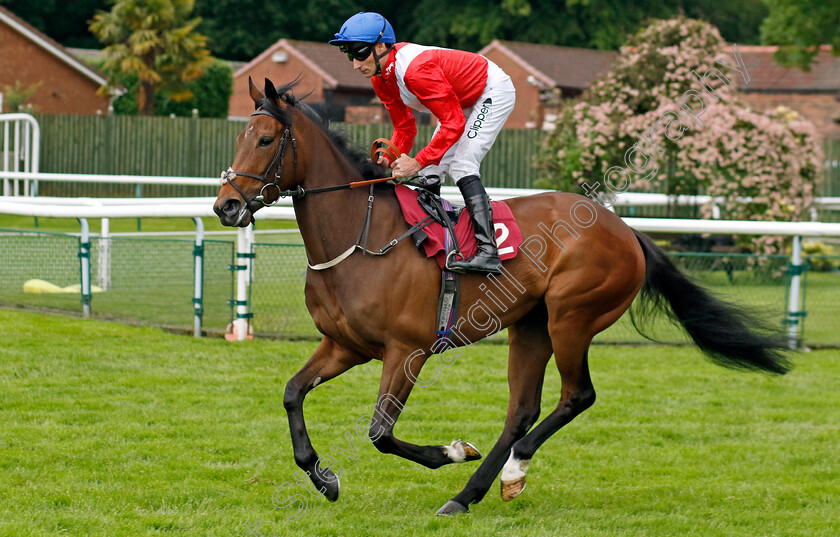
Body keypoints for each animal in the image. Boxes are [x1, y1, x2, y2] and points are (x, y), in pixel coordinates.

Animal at [213, 79, 792, 516]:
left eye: (265, 140)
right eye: (240, 136)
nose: (225, 206)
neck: (362, 238)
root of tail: (627, 231)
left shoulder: (408, 351)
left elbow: (380, 431)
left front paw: (450, 451)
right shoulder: (345, 345)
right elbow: (292, 393)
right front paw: (324, 478)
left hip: (571, 317)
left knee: (576, 396)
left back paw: (509, 471)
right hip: (530, 325)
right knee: (522, 409)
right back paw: (469, 494)